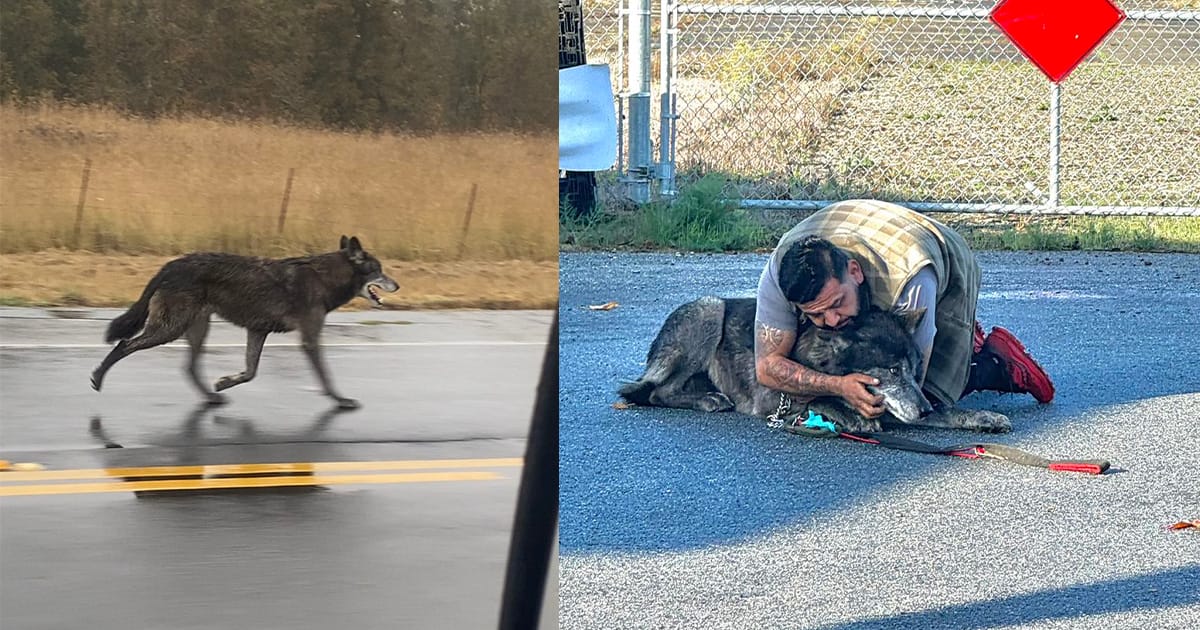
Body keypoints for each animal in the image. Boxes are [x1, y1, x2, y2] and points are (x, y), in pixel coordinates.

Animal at [91, 235, 398, 408]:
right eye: (379, 270)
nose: (397, 285)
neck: (325, 278)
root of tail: (171, 265)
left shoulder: (258, 331)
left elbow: (250, 372)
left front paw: (224, 382)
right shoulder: (309, 340)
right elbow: (326, 377)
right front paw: (341, 400)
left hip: (195, 330)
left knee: (188, 367)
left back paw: (211, 398)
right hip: (169, 329)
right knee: (124, 344)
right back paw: (97, 378)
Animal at [619, 296, 1012, 432]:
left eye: (914, 370)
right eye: (892, 370)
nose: (924, 410)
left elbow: (947, 413)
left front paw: (983, 418)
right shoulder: (774, 400)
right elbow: (820, 398)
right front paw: (846, 412)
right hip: (710, 309)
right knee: (656, 393)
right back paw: (706, 399)